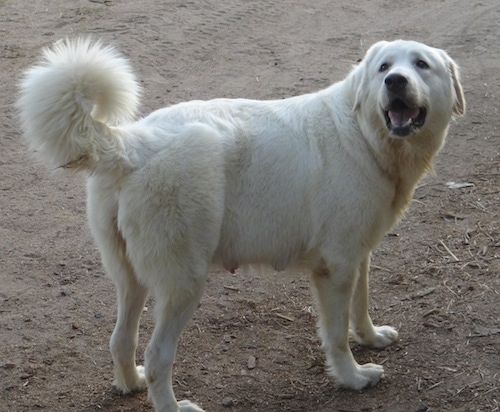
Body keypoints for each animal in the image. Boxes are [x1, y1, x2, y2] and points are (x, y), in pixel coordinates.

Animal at [18, 38, 464, 412]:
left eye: (420, 65)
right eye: (384, 67)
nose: (395, 81)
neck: (363, 133)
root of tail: (128, 145)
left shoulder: (357, 257)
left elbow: (361, 306)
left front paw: (371, 339)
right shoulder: (335, 268)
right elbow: (336, 335)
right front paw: (353, 377)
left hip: (132, 280)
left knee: (121, 340)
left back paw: (131, 383)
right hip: (184, 285)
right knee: (157, 355)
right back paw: (172, 406)